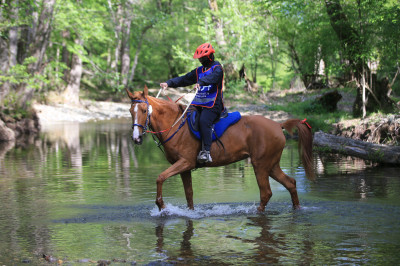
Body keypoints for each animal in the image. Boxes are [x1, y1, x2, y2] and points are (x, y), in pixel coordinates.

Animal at [126, 87, 314, 212]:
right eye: (130, 111)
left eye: (144, 110)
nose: (136, 138)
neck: (175, 125)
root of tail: (278, 124)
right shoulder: (184, 168)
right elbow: (189, 194)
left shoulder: (185, 162)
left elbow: (160, 177)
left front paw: (161, 205)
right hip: (271, 165)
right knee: (290, 183)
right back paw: (297, 208)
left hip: (261, 165)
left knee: (266, 192)